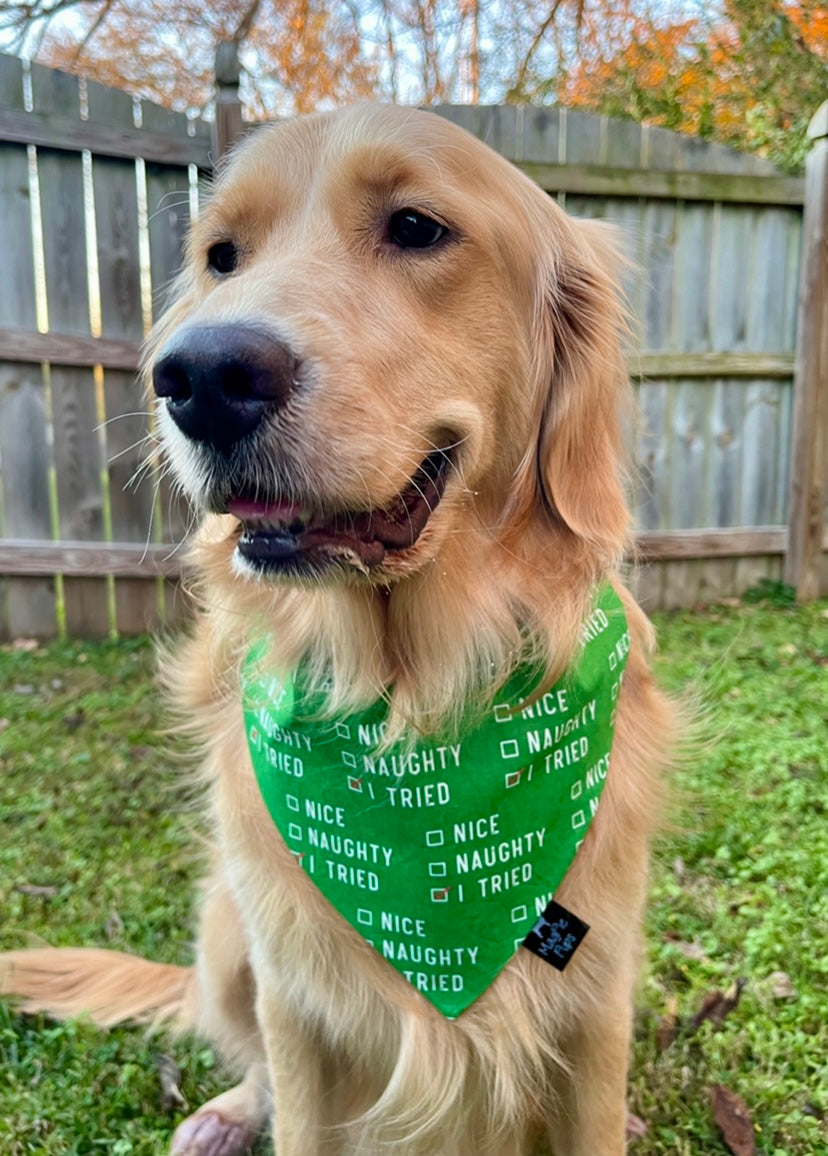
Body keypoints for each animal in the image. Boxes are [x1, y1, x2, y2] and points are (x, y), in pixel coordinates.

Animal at [0, 104, 675, 1151]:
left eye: (416, 228)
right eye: (222, 256)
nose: (200, 376)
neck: (411, 710)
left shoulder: (598, 1003)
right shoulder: (298, 1005)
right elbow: (297, 1101)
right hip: (230, 925)